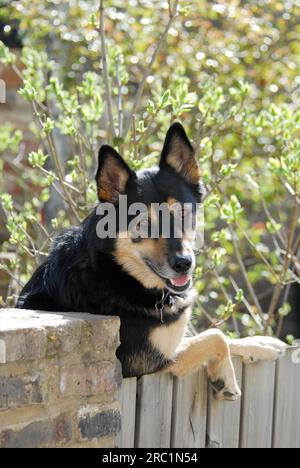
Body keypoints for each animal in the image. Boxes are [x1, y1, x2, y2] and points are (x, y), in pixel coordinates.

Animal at [17, 122, 288, 400]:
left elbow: (222, 335)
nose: (183, 263)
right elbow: (215, 335)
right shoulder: (149, 365)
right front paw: (227, 378)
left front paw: (263, 343)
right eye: (144, 224)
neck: (116, 273)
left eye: (183, 213)